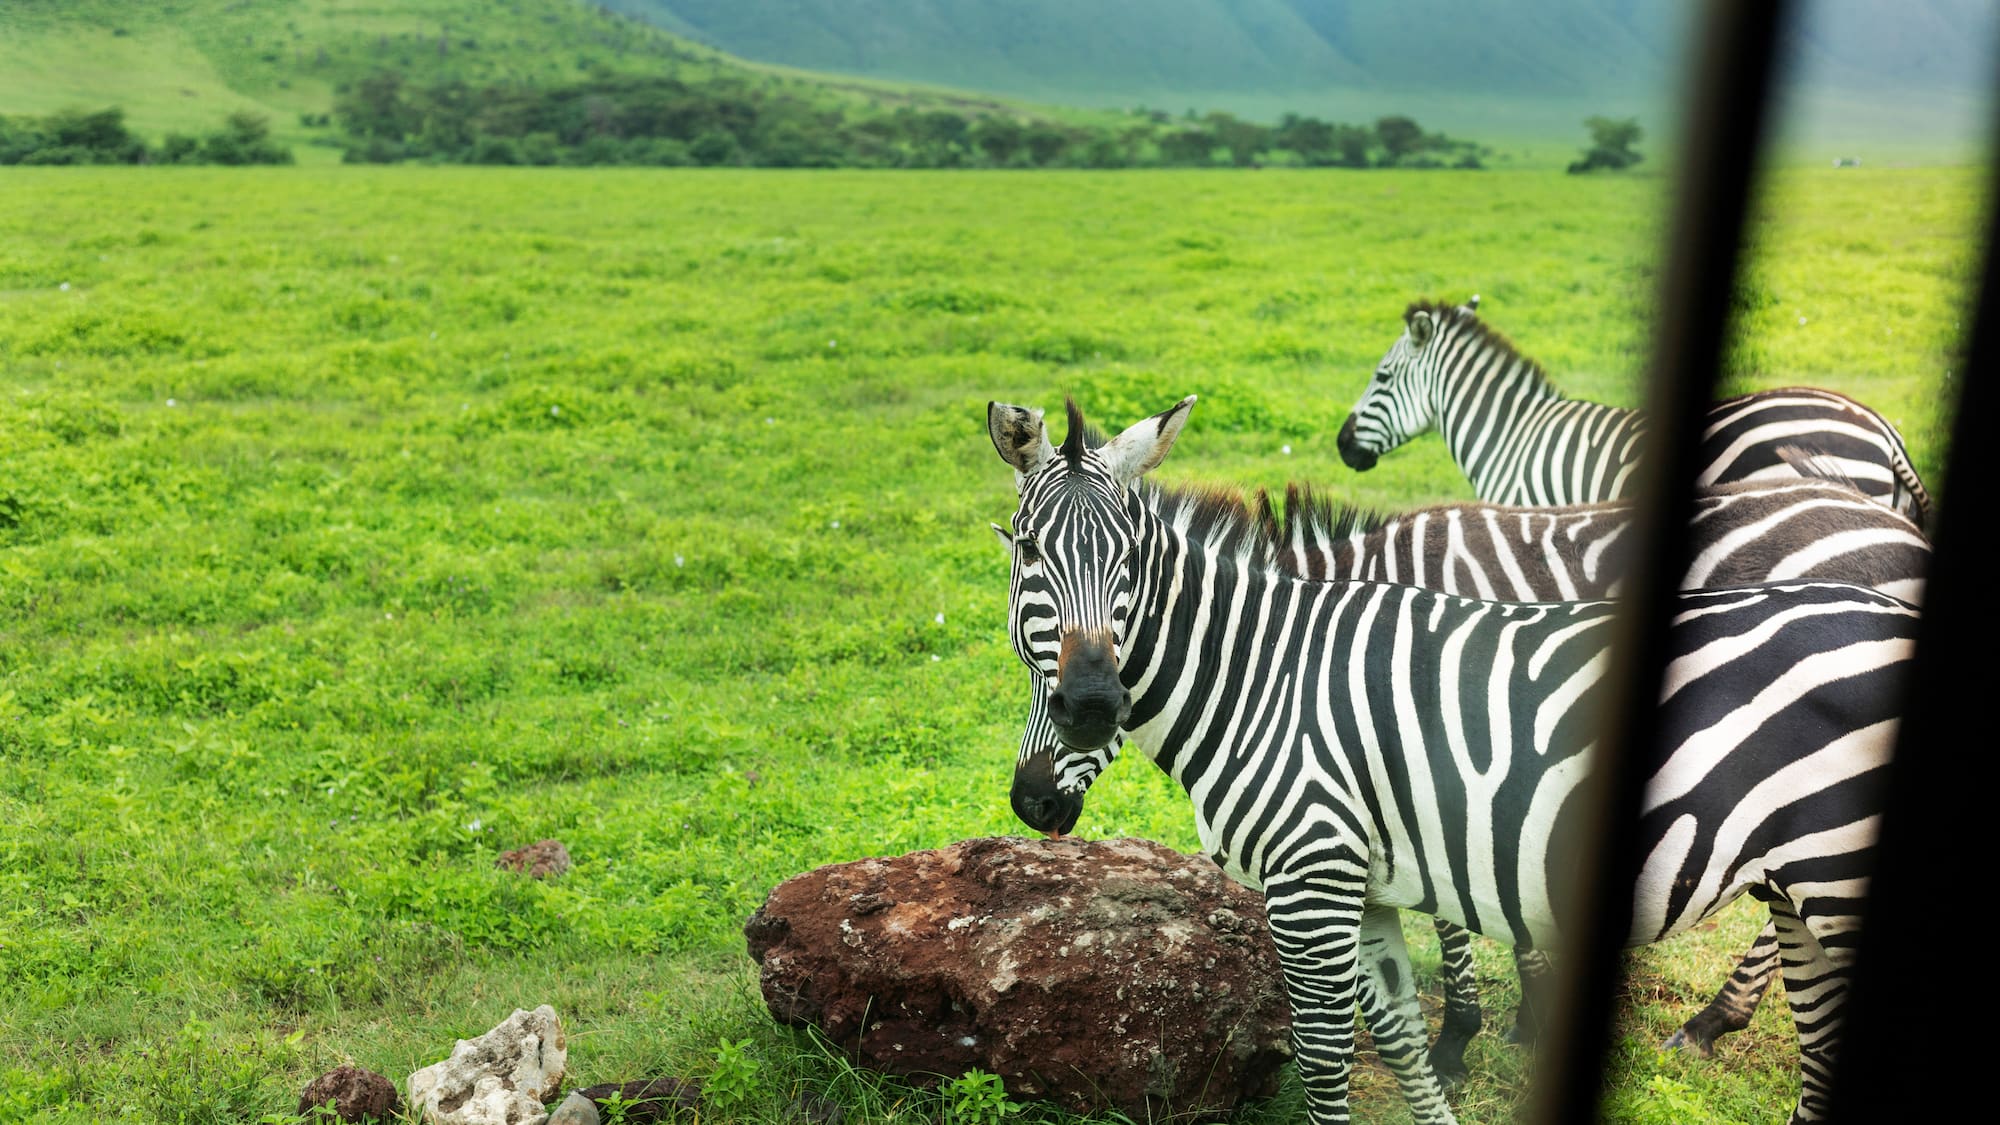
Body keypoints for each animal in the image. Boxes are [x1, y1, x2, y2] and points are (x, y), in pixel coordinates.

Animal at [991, 396, 1914, 1124]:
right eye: (1027, 550)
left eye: (1129, 559)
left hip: (1835, 878)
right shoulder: (1369, 876)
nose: (1089, 707)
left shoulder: (1315, 877)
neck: (1271, 673)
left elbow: (1328, 1058)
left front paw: (1480, 1029)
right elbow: (1397, 1036)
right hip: (1801, 892)